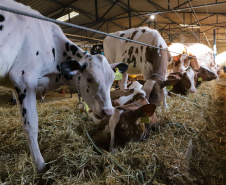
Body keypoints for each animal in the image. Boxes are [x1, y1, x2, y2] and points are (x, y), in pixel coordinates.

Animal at [0, 0, 127, 173]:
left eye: (112, 79)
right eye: (89, 78)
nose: (108, 111)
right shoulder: (22, 79)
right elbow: (31, 126)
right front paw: (40, 165)